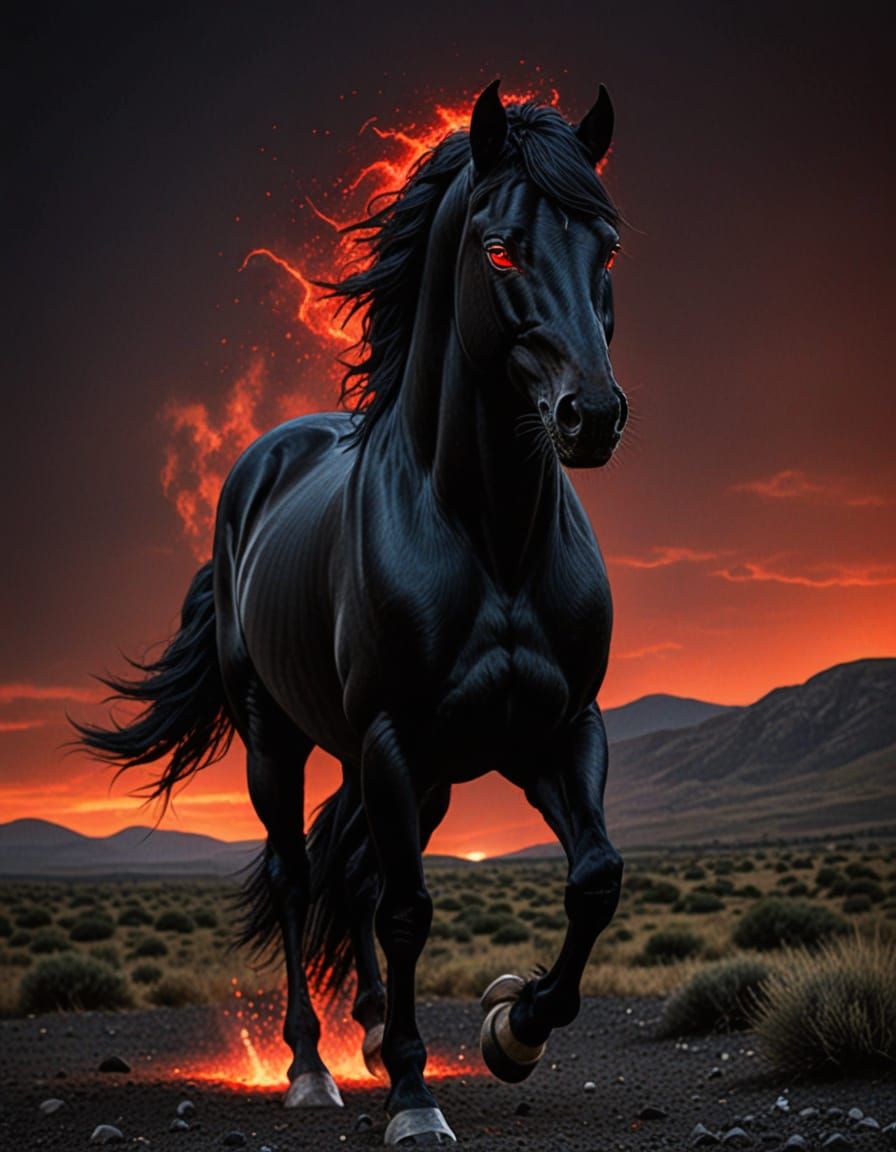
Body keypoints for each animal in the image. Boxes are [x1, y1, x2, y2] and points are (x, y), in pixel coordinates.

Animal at [74, 79, 628, 1146]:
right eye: (501, 249)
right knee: (301, 878)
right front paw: (414, 1095)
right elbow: (409, 908)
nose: (592, 417)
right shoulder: (391, 736)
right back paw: (310, 1064)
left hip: (413, 768)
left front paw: (513, 1026)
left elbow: (593, 878)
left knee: (357, 873)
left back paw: (370, 1029)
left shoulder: (556, 729)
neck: (490, 536)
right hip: (280, 739)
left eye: (609, 248)